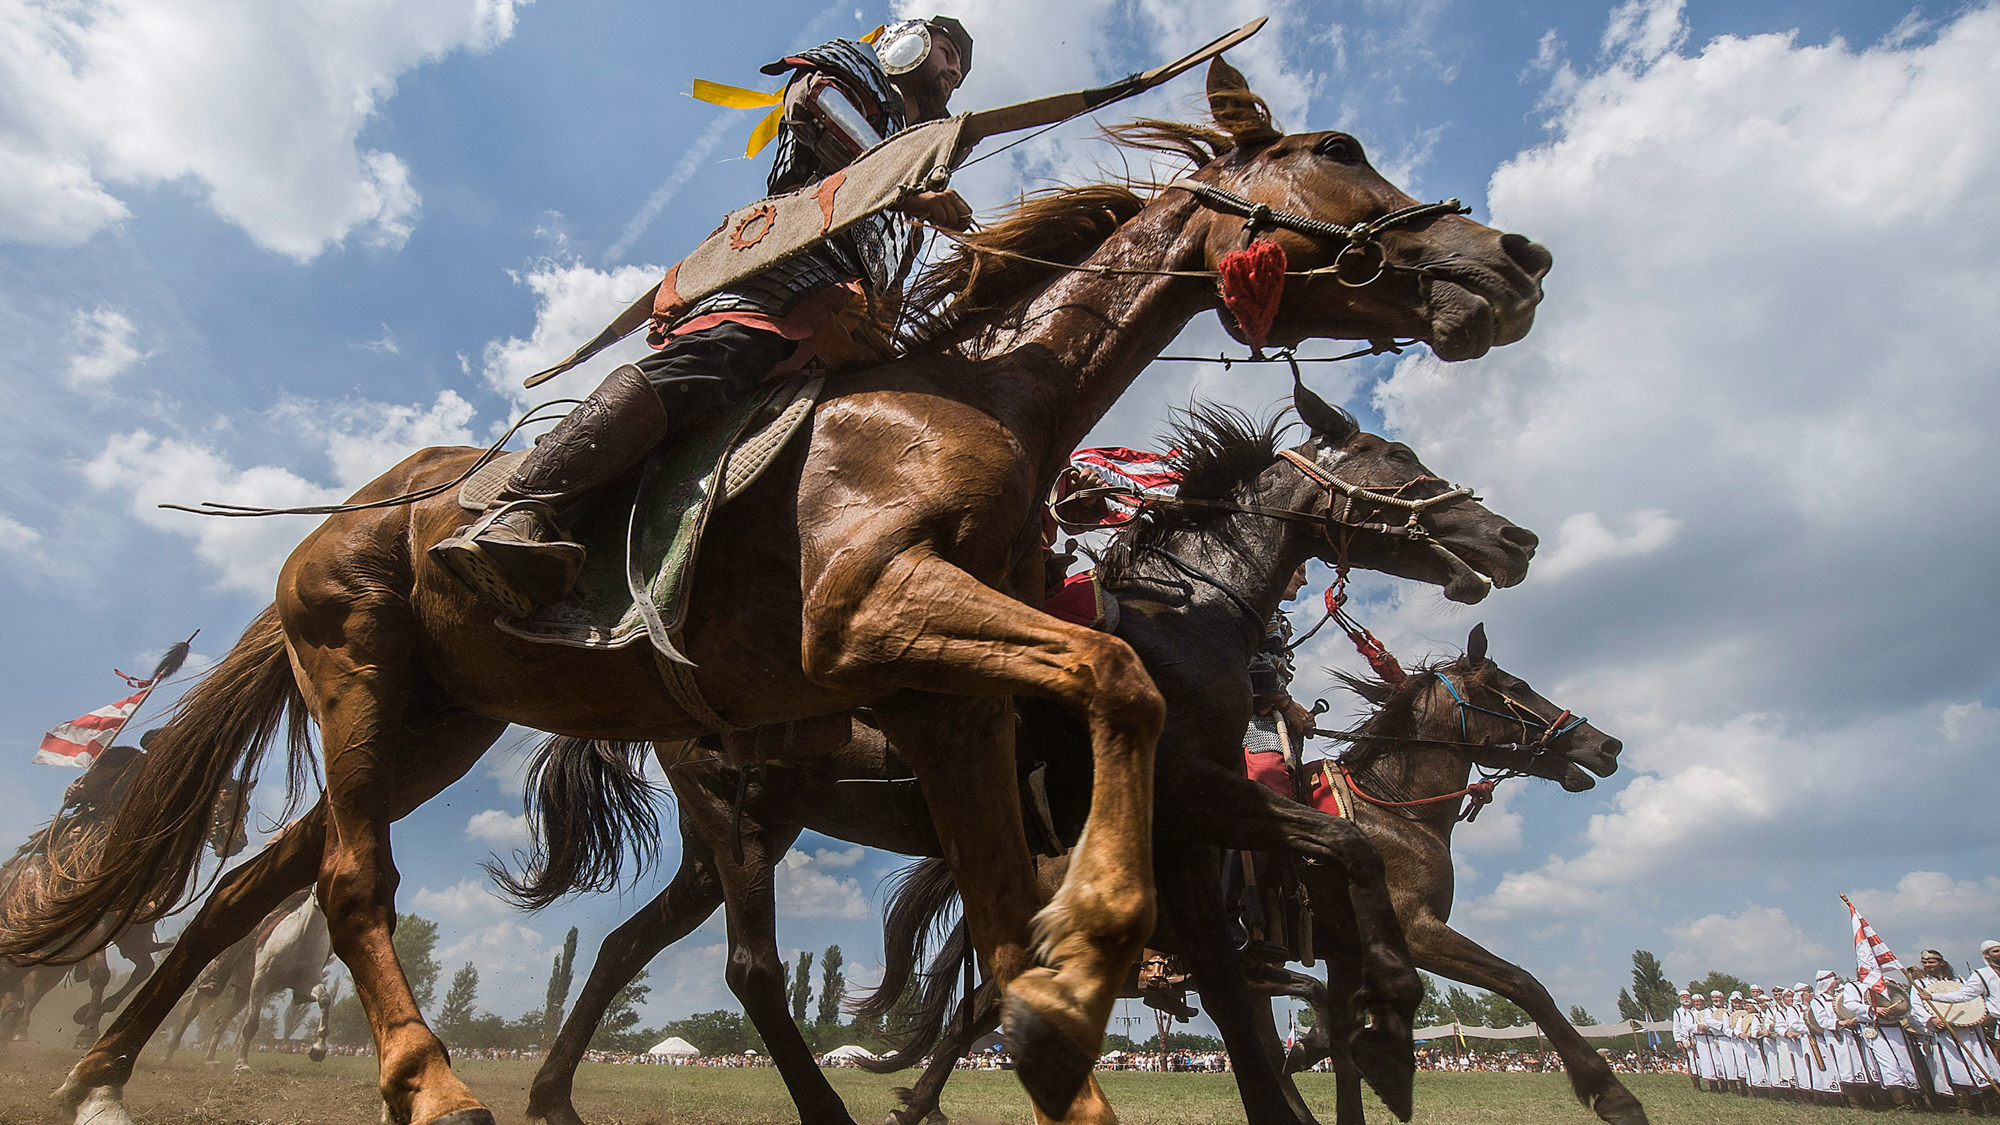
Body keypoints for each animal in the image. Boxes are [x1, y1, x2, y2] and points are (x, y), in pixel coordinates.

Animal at [11, 61, 1544, 1120]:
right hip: (371, 680)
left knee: (248, 887)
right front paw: (1103, 942)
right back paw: (432, 1079)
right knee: (353, 880)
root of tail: (355, 516)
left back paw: (102, 1075)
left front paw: (1077, 1002)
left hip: (439, 722)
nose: (1510, 258)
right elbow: (1120, 698)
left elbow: (1019, 933)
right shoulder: (878, 612)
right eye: (1335, 150)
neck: (975, 402)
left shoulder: (949, 703)